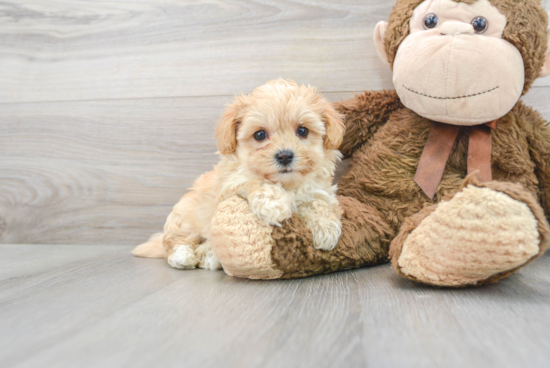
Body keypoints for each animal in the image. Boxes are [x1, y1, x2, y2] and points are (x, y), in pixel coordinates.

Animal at [133, 80, 344, 270]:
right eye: (260, 135)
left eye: (302, 130)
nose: (284, 156)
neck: (287, 183)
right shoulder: (231, 183)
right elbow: (256, 180)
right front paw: (275, 206)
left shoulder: (318, 190)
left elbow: (318, 203)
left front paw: (326, 228)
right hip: (184, 219)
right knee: (174, 243)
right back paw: (184, 257)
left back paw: (210, 257)